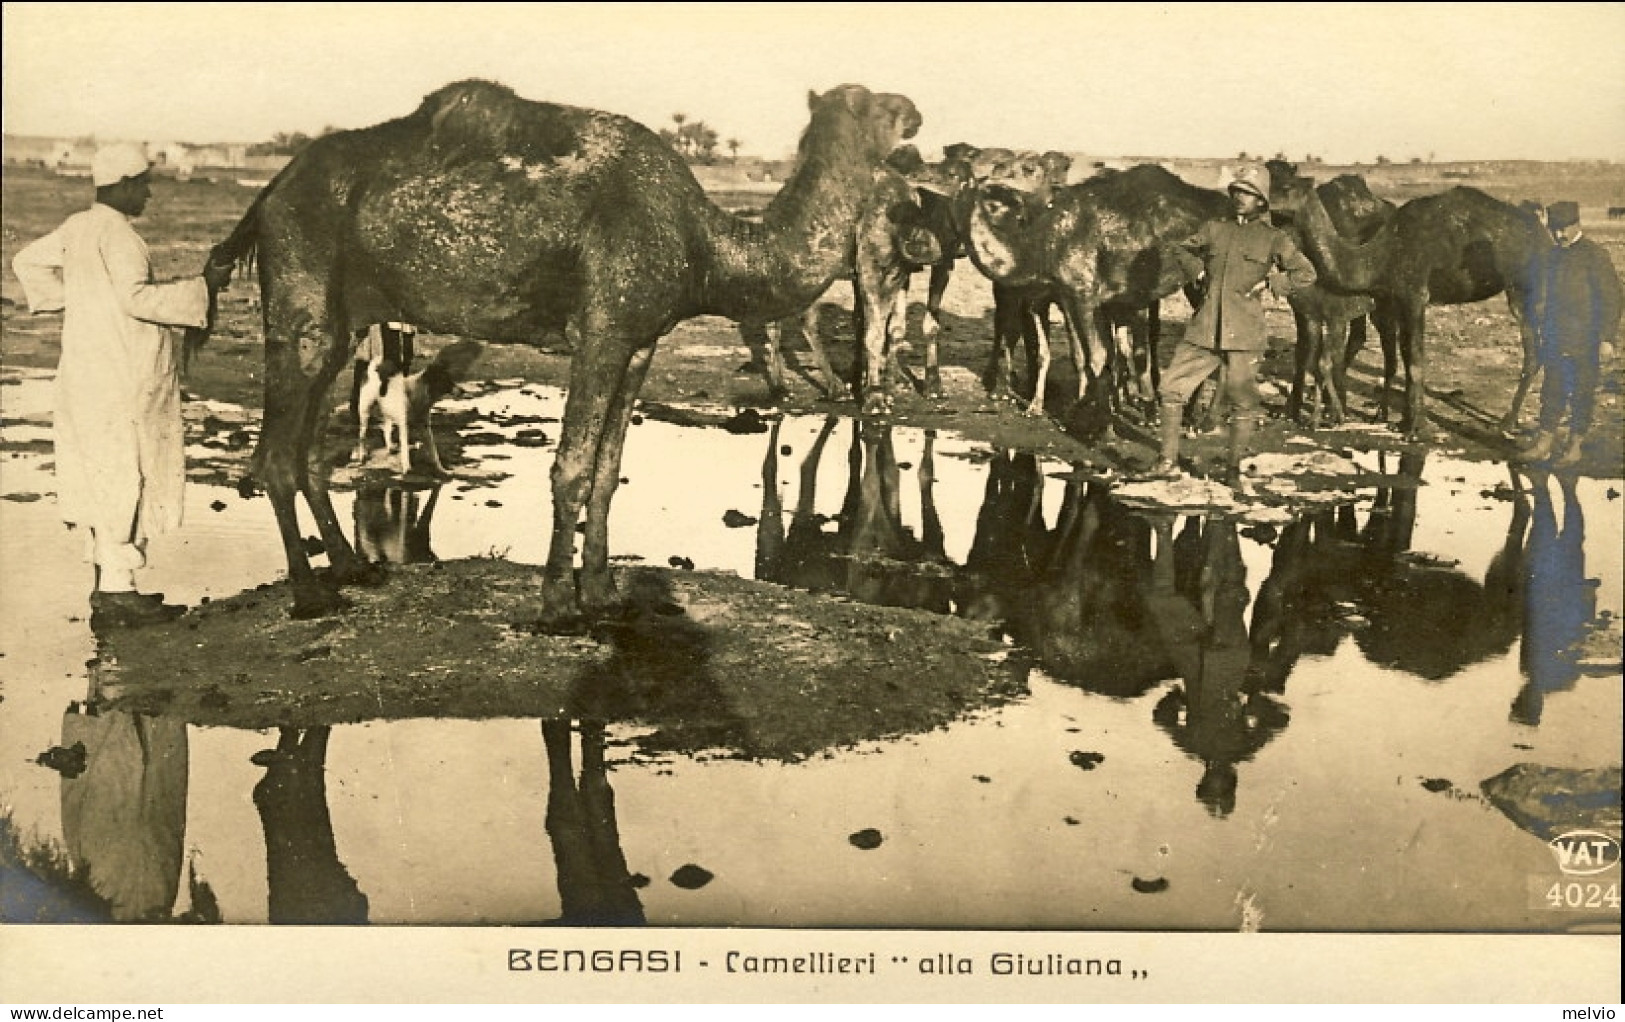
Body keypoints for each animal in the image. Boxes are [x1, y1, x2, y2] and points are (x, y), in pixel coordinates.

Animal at [204, 79, 923, 620]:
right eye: (877, 106)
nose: (915, 113)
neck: (704, 245)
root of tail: (268, 194)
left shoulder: (640, 341)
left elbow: (606, 471)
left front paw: (602, 594)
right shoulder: (601, 330)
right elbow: (572, 467)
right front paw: (557, 604)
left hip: (343, 319)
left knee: (307, 449)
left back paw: (354, 569)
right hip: (302, 294)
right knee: (276, 454)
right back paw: (309, 594)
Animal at [1267, 168, 1547, 438]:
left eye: (1286, 187)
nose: (1264, 203)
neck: (1380, 255)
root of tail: (1544, 235)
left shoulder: (1415, 296)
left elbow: (1415, 360)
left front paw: (1416, 427)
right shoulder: (1398, 299)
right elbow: (1404, 355)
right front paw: (1401, 422)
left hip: (1524, 288)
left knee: (1535, 351)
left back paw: (1505, 424)